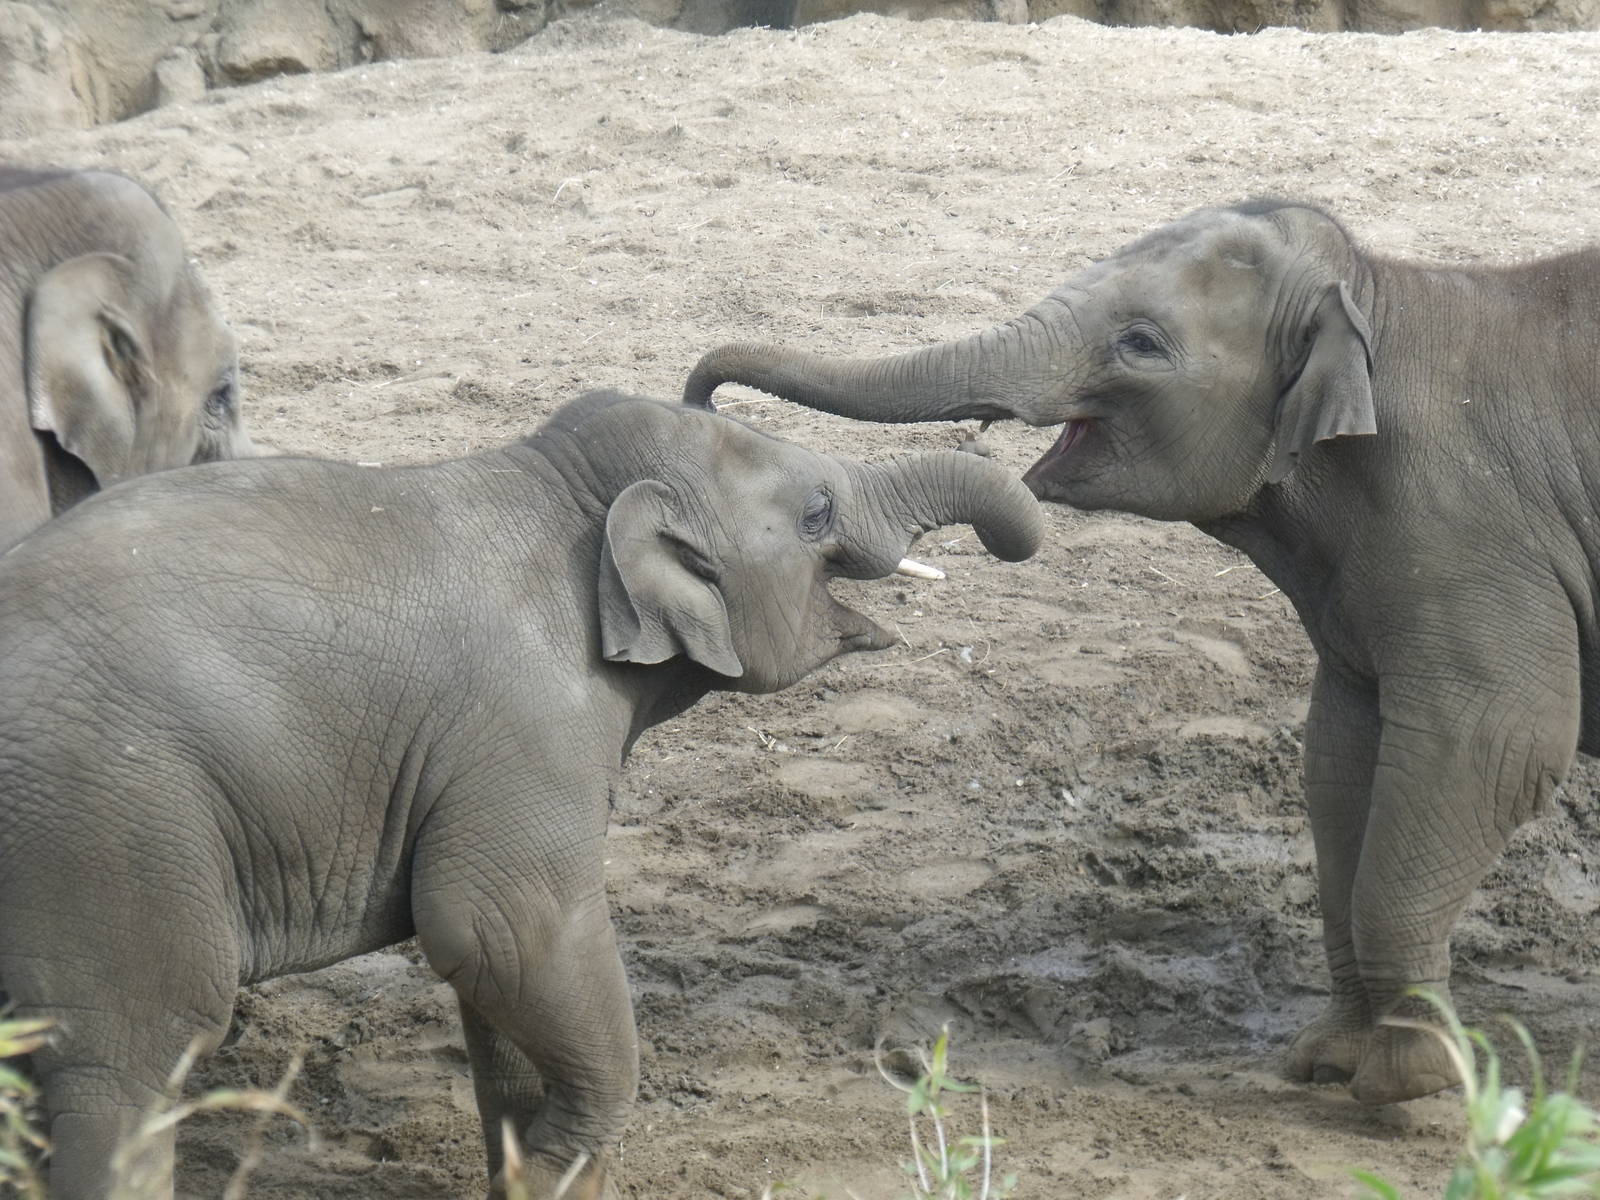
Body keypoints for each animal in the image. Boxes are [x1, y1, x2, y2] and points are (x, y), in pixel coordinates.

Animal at [0, 387, 1041, 1199]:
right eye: (818, 512)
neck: (556, 485)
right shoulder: (529, 726)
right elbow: (499, 927)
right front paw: (554, 1167)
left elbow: (492, 979)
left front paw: (526, 1161)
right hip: (109, 819)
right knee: (131, 1058)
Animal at [682, 197, 1600, 1106]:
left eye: (1142, 344)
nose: (701, 395)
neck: (1374, 291)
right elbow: (1340, 762)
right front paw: (1325, 1063)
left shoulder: (1470, 531)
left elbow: (1494, 745)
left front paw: (1406, 1084)